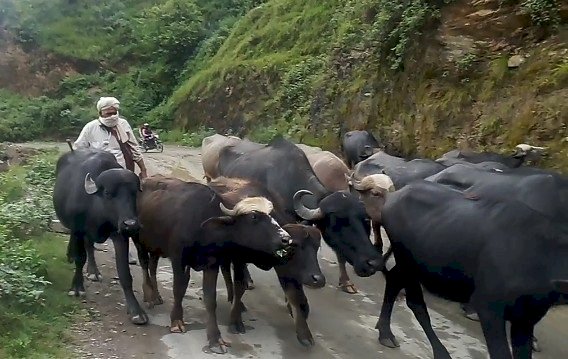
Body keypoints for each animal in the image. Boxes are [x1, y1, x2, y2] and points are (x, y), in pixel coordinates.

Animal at [52, 149, 148, 326]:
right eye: (108, 193)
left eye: (134, 193)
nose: (131, 224)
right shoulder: (78, 229)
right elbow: (80, 258)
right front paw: (77, 288)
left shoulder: (120, 234)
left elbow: (124, 272)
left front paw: (136, 311)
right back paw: (70, 255)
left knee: (90, 247)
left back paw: (93, 271)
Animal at [374, 183, 564, 359]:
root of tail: (394, 195)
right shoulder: (489, 307)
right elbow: (500, 352)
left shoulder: (526, 318)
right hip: (407, 263)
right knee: (415, 303)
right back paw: (439, 352)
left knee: (393, 280)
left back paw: (385, 332)